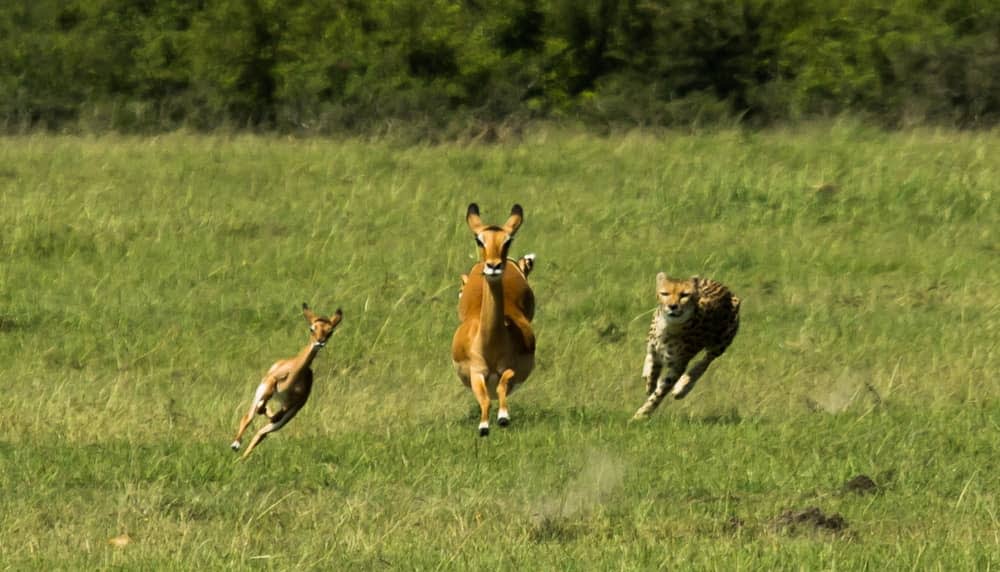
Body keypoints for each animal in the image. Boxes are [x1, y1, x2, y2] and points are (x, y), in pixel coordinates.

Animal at [632, 272, 744, 420]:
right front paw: (650, 382)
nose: (672, 306)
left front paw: (642, 414)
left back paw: (683, 386)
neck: (668, 327)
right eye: (665, 293)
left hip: (721, 343)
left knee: (704, 363)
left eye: (684, 295)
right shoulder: (654, 350)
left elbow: (659, 393)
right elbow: (653, 367)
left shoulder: (678, 365)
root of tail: (725, 288)